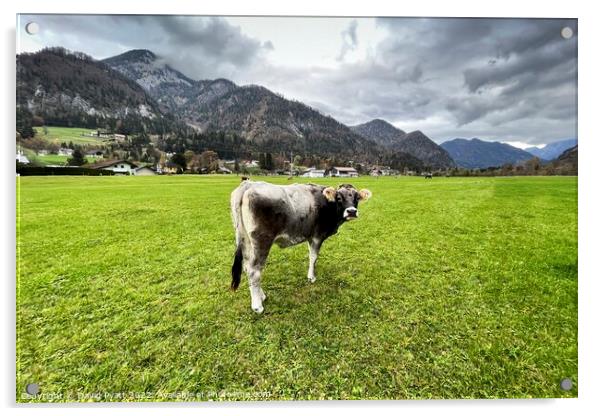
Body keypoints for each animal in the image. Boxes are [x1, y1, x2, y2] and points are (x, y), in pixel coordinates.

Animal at [230, 179, 370, 312]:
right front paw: (311, 277)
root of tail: (249, 185)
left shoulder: (310, 236)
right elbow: (314, 257)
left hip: (246, 240)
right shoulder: (317, 236)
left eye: (357, 197)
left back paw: (261, 295)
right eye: (339, 197)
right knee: (254, 271)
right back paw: (257, 306)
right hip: (261, 241)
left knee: (246, 267)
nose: (351, 211)